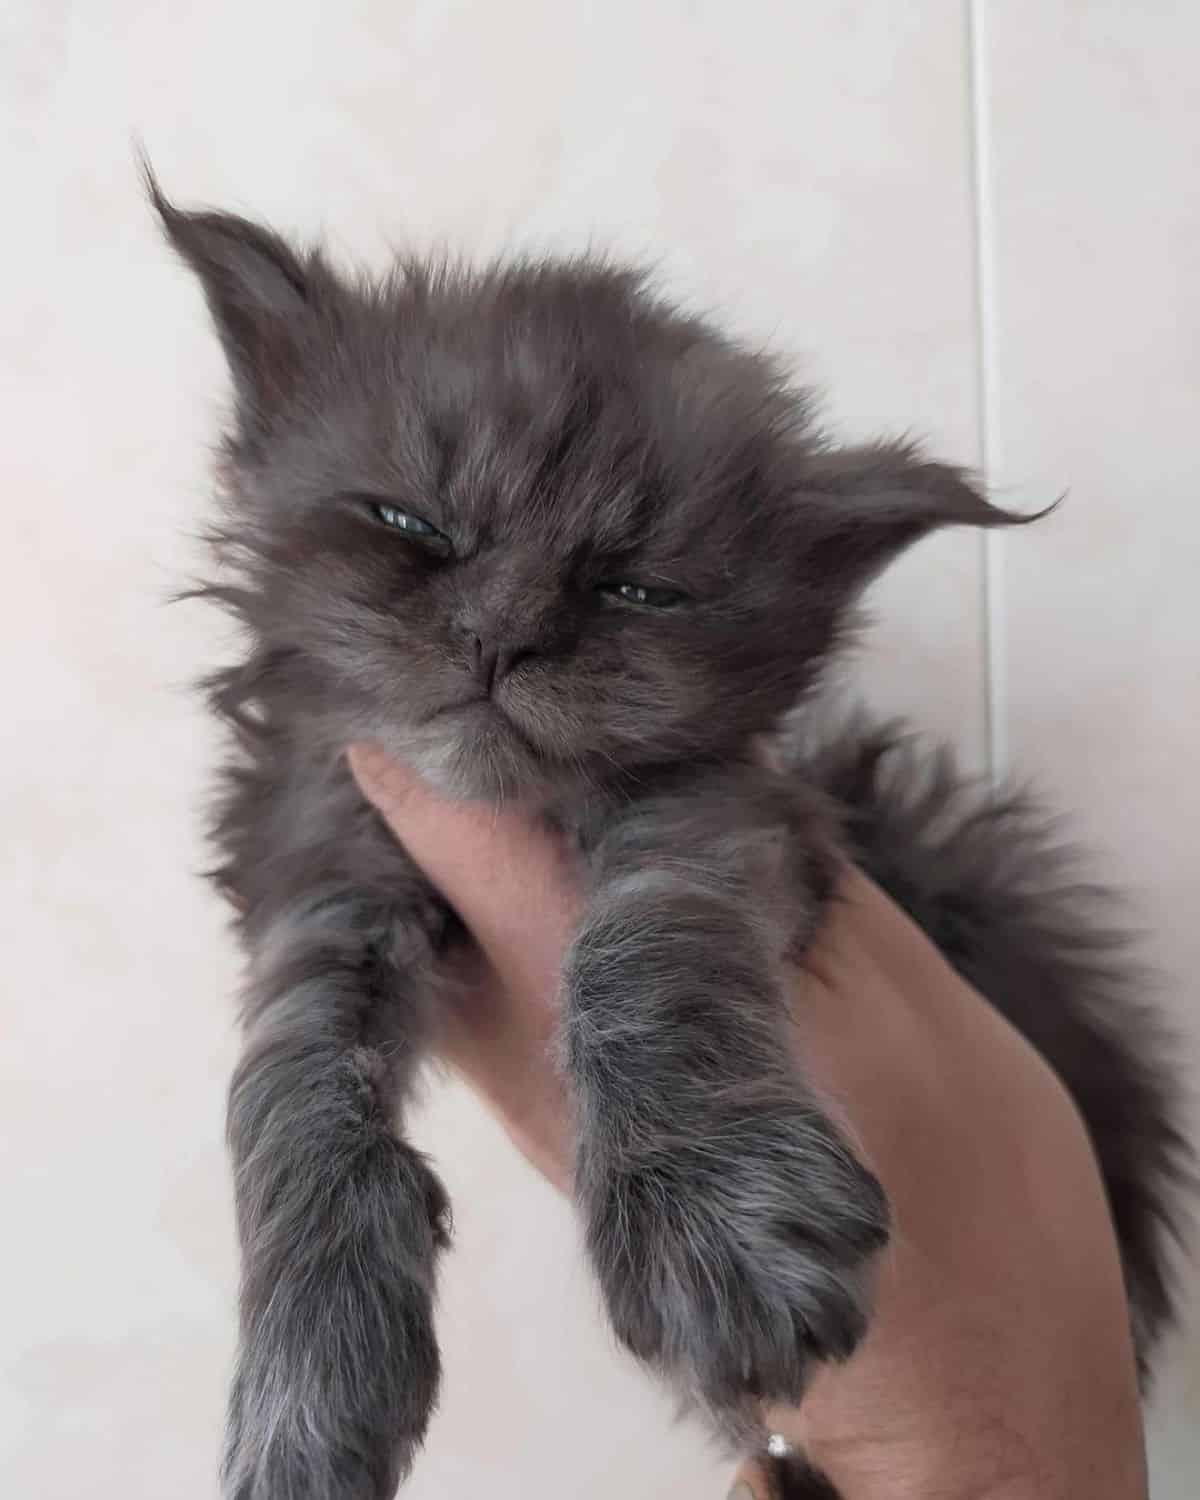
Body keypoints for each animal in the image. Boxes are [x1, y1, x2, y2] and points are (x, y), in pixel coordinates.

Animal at [147, 172, 1182, 1500]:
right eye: (410, 525)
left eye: (638, 590)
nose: (500, 636)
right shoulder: (319, 867)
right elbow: (289, 1087)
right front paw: (307, 1383)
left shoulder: (724, 812)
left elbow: (642, 947)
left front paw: (715, 1216)